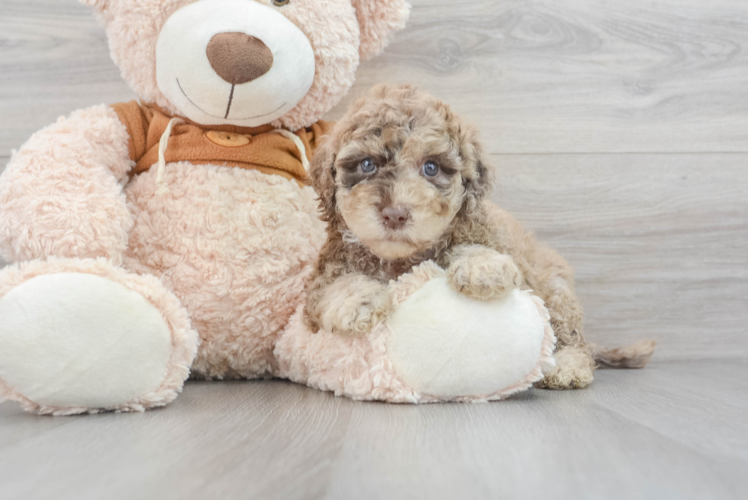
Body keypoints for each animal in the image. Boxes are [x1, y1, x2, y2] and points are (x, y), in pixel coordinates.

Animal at [304, 84, 596, 388]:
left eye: (431, 167)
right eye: (366, 164)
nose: (395, 214)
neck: (401, 260)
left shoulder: (481, 232)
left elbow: (475, 246)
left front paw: (483, 267)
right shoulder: (327, 270)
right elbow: (333, 284)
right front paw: (358, 302)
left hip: (556, 290)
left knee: (572, 335)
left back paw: (568, 366)